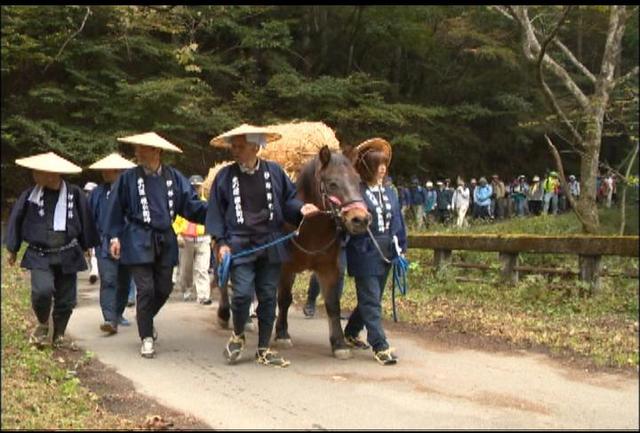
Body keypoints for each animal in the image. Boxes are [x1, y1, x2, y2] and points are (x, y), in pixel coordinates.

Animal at [276, 145, 370, 358]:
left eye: (358, 181)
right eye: (333, 183)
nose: (360, 219)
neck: (309, 227)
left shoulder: (329, 269)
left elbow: (333, 304)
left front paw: (339, 343)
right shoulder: (285, 268)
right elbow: (284, 299)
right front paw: (282, 334)